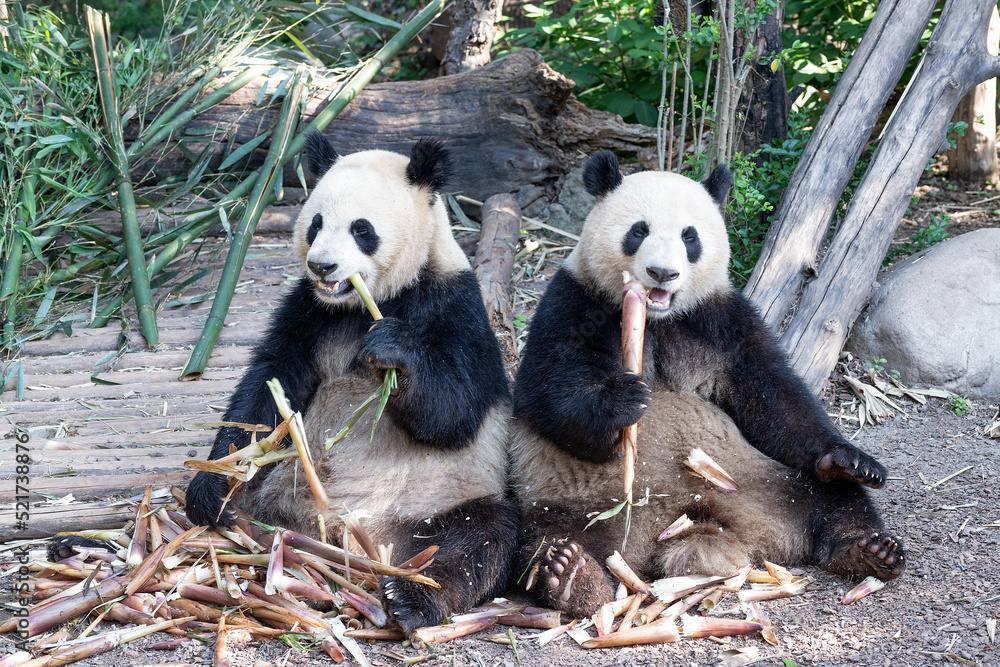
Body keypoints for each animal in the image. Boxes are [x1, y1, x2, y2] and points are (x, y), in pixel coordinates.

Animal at [183, 133, 520, 636]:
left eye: (363, 229)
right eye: (316, 223)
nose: (323, 267)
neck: (362, 303)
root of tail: (356, 542)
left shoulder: (454, 305)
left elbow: (454, 411)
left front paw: (392, 349)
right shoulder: (307, 311)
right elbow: (268, 389)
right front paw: (214, 482)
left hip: (438, 501)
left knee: (480, 538)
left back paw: (410, 599)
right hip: (277, 492)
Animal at [512, 151, 904, 620]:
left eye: (690, 236)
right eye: (638, 230)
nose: (662, 273)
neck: (658, 320)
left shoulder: (720, 320)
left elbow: (773, 397)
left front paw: (852, 458)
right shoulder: (574, 300)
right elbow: (549, 392)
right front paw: (625, 401)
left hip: (762, 480)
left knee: (834, 497)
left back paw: (869, 549)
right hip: (575, 501)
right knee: (544, 539)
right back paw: (572, 577)